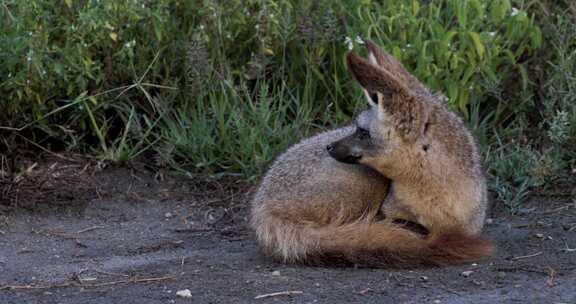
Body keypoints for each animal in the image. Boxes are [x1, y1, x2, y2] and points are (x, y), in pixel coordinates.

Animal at [250, 41, 492, 268]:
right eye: (355, 127)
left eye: (362, 132)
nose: (329, 147)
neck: (432, 201)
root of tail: (260, 205)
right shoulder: (388, 211)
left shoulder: (466, 227)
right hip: (367, 184)